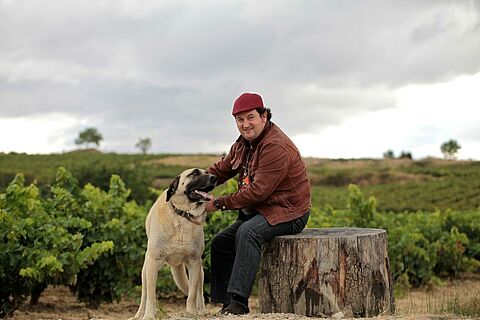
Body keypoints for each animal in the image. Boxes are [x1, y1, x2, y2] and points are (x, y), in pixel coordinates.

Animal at [129, 169, 216, 318]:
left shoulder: (194, 262)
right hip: (146, 270)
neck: (183, 215)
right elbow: (151, 295)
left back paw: (201, 311)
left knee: (199, 292)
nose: (214, 177)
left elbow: (192, 293)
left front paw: (191, 313)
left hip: (200, 271)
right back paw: (139, 314)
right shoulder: (153, 262)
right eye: (194, 173)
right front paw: (149, 315)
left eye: (206, 172)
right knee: (145, 294)